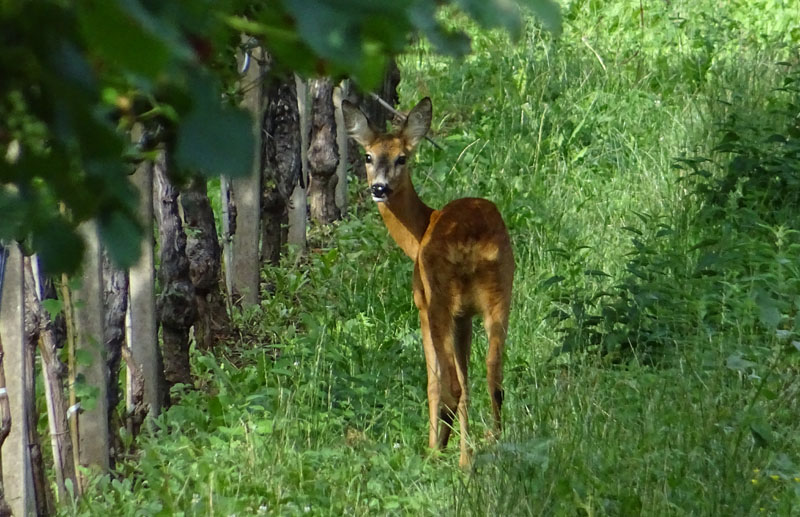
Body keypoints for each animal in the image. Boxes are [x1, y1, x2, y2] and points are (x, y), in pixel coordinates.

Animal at [342, 98, 516, 468]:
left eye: (401, 158)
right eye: (368, 156)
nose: (379, 188)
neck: (420, 231)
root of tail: (470, 242)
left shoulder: (422, 304)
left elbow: (434, 382)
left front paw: (437, 447)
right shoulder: (464, 316)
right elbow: (468, 375)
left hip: (438, 298)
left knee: (449, 383)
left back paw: (455, 459)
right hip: (501, 291)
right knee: (493, 373)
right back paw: (493, 442)